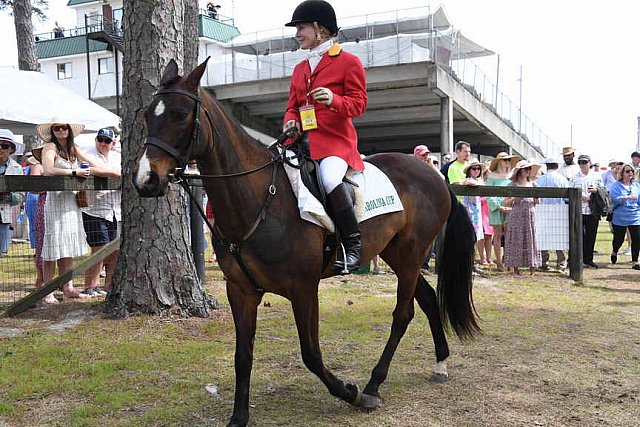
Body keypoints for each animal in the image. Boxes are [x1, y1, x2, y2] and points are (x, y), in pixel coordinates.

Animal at [135, 57, 478, 427]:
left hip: (412, 254)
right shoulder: (240, 290)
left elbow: (311, 354)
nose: (145, 180)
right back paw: (440, 362)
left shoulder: (303, 289)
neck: (260, 199)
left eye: (180, 114)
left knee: (403, 314)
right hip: (399, 256)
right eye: (146, 115)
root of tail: (435, 174)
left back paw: (373, 385)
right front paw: (238, 417)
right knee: (426, 299)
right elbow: (243, 355)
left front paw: (350, 393)